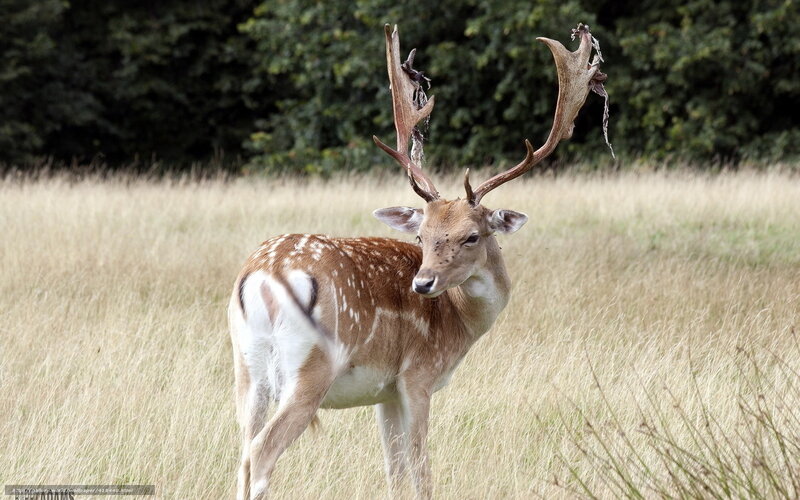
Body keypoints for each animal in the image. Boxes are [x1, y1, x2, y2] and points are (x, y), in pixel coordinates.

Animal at [228, 23, 608, 500]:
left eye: (471, 235)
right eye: (421, 235)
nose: (423, 284)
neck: (459, 323)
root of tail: (266, 274)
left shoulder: (385, 391)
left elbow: (392, 471)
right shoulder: (417, 377)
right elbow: (421, 471)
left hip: (246, 366)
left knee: (241, 449)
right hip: (311, 366)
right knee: (261, 453)